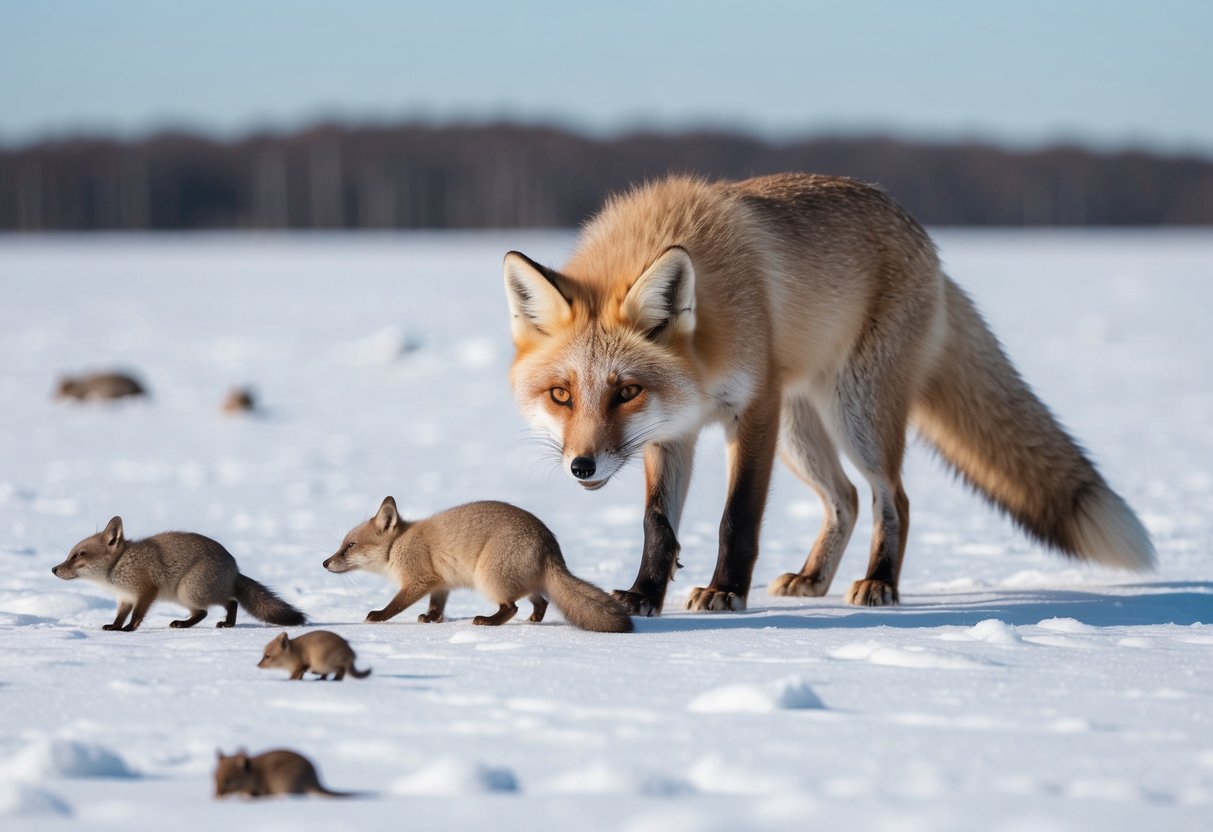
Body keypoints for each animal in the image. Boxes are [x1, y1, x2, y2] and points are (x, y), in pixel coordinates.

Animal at [52, 516, 307, 631]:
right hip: (186, 596)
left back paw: (225, 623)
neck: (119, 565)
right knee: (204, 612)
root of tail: (235, 569)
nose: (54, 569)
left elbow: (137, 616)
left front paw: (129, 630)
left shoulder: (146, 590)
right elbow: (120, 616)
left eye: (79, 555)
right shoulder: (124, 597)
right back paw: (186, 624)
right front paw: (115, 628)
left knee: (229, 602)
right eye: (70, 554)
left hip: (189, 591)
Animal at [322, 497, 633, 633]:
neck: (398, 545)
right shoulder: (440, 584)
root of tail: (550, 546)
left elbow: (394, 606)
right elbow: (436, 607)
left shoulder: (418, 579)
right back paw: (533, 620)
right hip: (523, 582)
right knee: (541, 601)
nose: (325, 563)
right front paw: (432, 619)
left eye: (350, 545)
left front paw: (377, 617)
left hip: (489, 578)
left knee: (511, 607)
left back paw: (487, 621)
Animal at [503, 173, 1156, 615]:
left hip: (854, 414)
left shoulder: (753, 410)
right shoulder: (673, 429)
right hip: (802, 432)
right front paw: (642, 594)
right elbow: (657, 525)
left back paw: (881, 582)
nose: (582, 465)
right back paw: (813, 579)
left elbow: (736, 518)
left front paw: (725, 591)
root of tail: (931, 247)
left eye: (626, 391)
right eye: (561, 394)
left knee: (893, 498)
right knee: (845, 497)